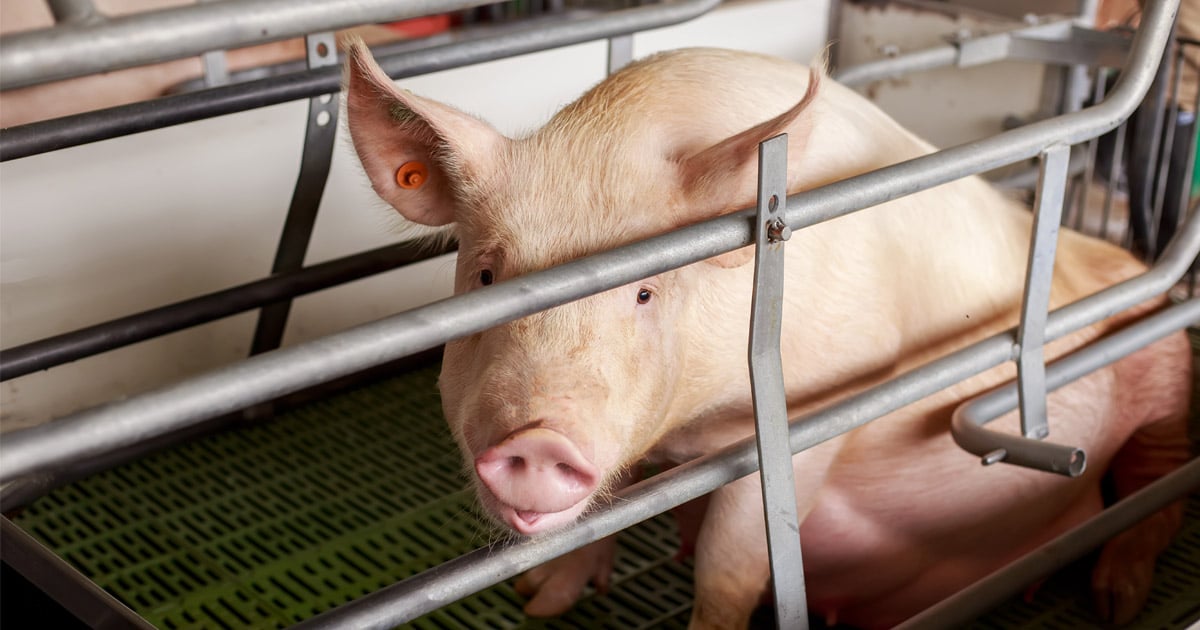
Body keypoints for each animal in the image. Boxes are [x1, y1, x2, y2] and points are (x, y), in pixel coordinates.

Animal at [344, 42, 1192, 629]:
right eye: (488, 278)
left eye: (646, 290)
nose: (536, 440)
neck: (692, 429)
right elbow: (602, 514)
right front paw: (539, 601)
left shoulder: (824, 409)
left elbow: (729, 567)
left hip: (1168, 368)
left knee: (1156, 494)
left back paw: (1116, 600)